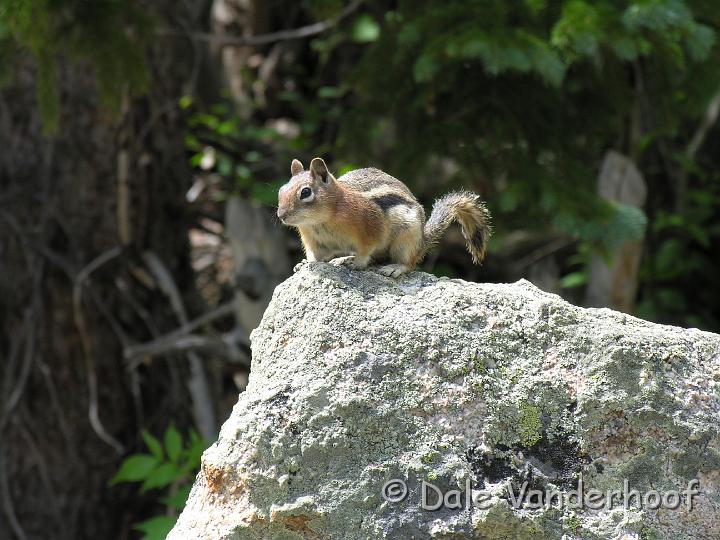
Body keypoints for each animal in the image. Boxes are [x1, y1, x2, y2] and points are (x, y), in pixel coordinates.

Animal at [277, 157, 491, 277]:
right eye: (281, 190)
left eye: (305, 192)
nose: (281, 215)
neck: (320, 221)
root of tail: (422, 240)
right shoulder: (314, 240)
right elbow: (315, 256)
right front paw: (306, 264)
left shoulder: (370, 229)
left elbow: (365, 251)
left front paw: (357, 264)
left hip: (405, 241)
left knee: (409, 264)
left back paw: (393, 268)